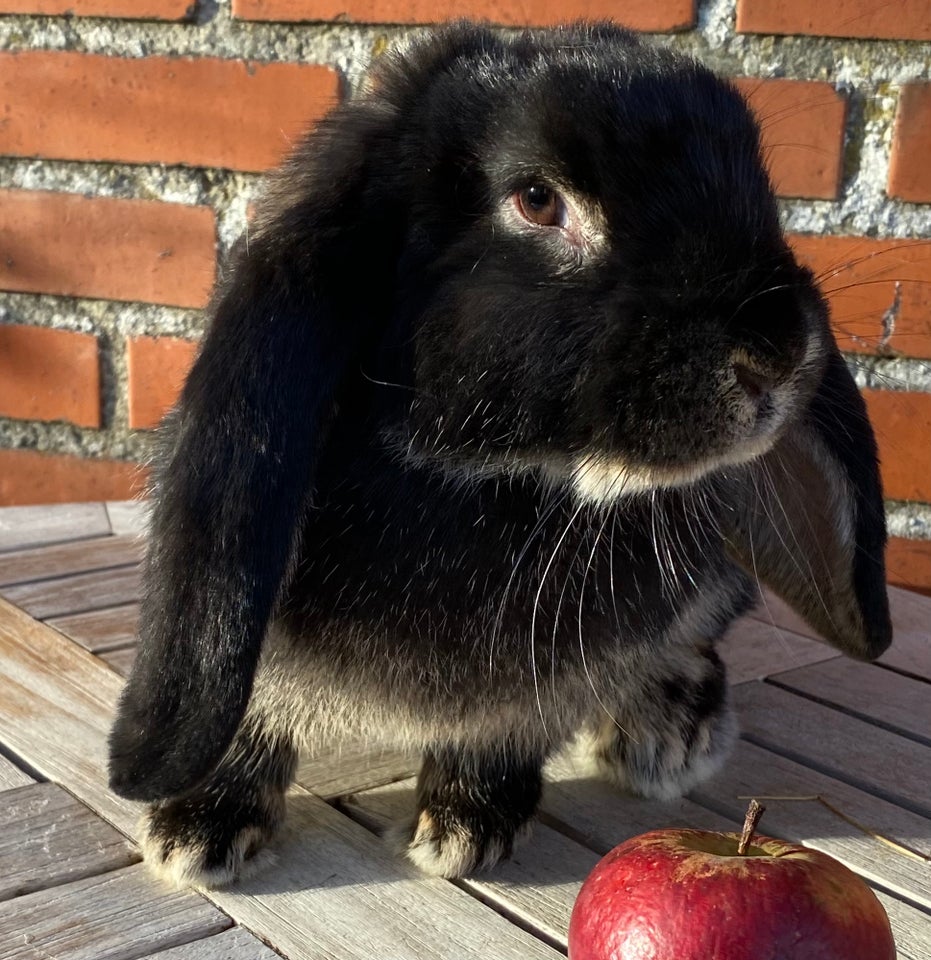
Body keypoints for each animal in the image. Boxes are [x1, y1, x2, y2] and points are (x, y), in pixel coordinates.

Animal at [109, 22, 896, 888]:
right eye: (537, 200)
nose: (778, 352)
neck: (494, 485)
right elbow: (246, 713)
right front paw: (195, 829)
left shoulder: (535, 693)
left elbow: (507, 732)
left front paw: (466, 825)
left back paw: (668, 734)